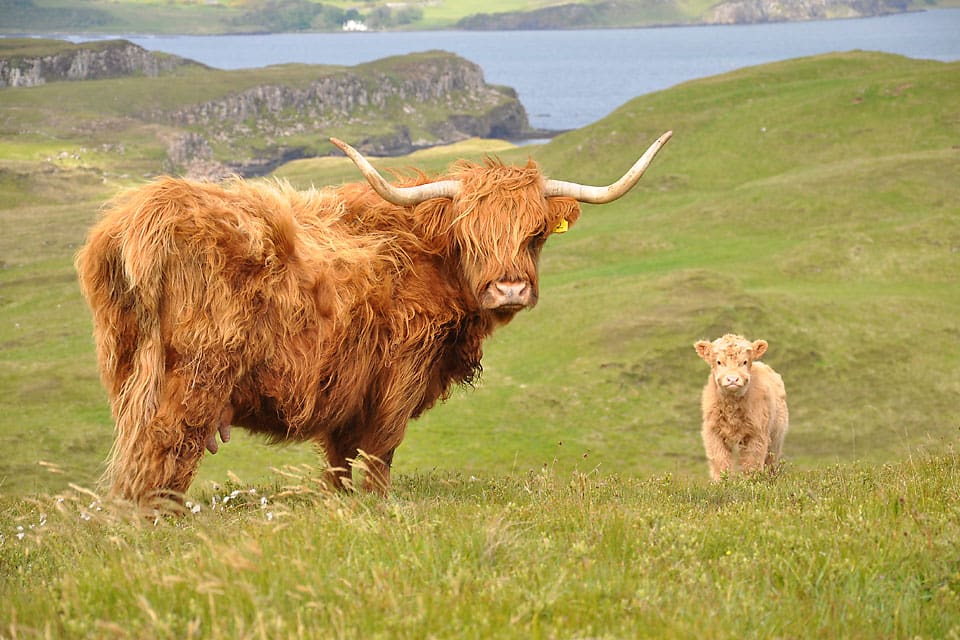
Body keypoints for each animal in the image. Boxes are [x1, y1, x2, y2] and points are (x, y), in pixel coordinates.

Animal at [75, 132, 672, 508]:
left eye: (537, 233)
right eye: (469, 232)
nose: (509, 288)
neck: (426, 253)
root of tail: (144, 215)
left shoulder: (347, 389)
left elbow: (339, 461)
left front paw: (337, 505)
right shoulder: (398, 375)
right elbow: (380, 452)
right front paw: (379, 507)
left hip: (127, 370)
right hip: (193, 379)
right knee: (163, 454)